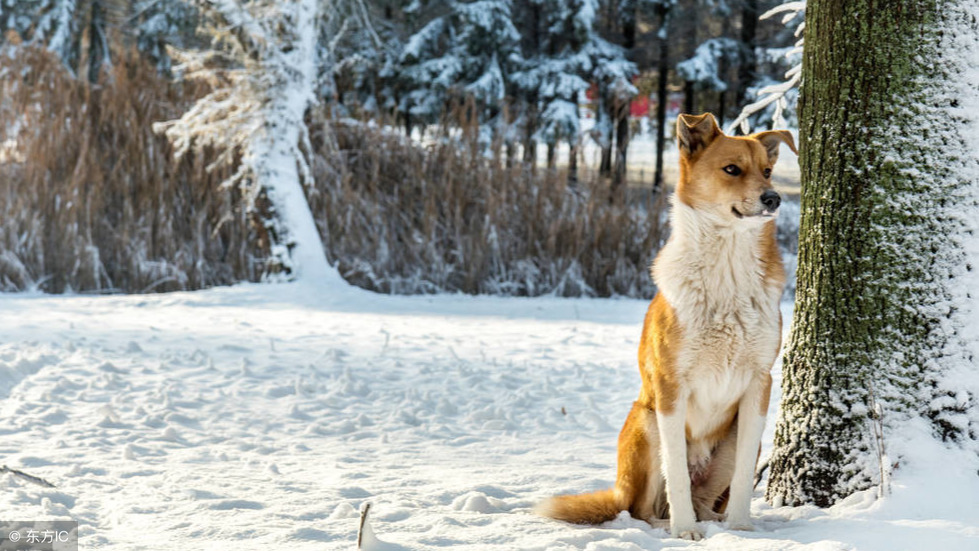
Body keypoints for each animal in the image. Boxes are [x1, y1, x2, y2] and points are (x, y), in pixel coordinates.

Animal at [540, 114, 800, 540]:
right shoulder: (670, 385)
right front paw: (684, 532)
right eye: (732, 169)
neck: (728, 265)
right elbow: (675, 471)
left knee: (705, 499)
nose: (773, 199)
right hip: (646, 424)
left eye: (766, 171)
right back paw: (671, 523)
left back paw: (715, 521)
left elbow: (744, 477)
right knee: (642, 509)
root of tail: (619, 490)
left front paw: (742, 526)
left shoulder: (758, 384)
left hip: (728, 444)